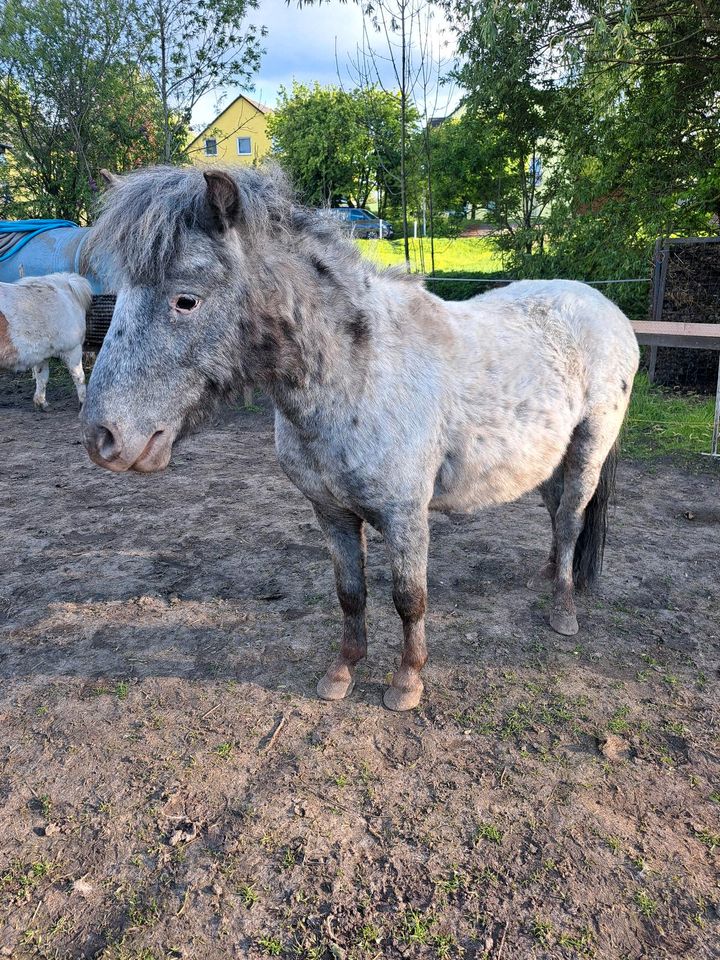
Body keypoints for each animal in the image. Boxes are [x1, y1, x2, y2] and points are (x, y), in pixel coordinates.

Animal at [0, 272, 93, 410]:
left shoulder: (41, 356)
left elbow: (42, 377)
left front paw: (41, 403)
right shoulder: (73, 350)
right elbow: (79, 377)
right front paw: (83, 403)